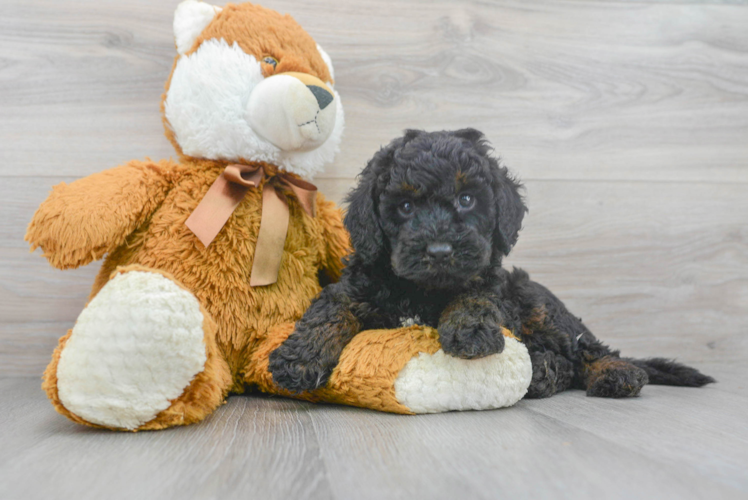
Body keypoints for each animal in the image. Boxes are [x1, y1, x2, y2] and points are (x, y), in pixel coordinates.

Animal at [268, 129, 712, 398]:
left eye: (466, 199)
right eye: (406, 207)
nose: (440, 251)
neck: (423, 289)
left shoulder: (490, 283)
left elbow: (474, 298)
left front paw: (471, 330)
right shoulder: (357, 285)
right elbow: (328, 310)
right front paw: (298, 359)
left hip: (536, 301)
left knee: (586, 347)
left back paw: (614, 373)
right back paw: (546, 371)